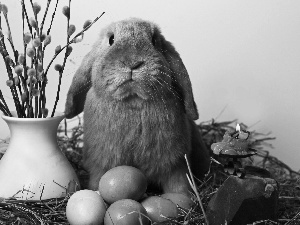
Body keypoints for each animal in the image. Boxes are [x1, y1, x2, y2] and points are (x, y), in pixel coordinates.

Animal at [65, 17, 211, 195]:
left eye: (154, 41)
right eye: (111, 39)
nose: (133, 62)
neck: (133, 101)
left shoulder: (176, 165)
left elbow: (179, 185)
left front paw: (184, 198)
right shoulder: (101, 165)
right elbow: (97, 181)